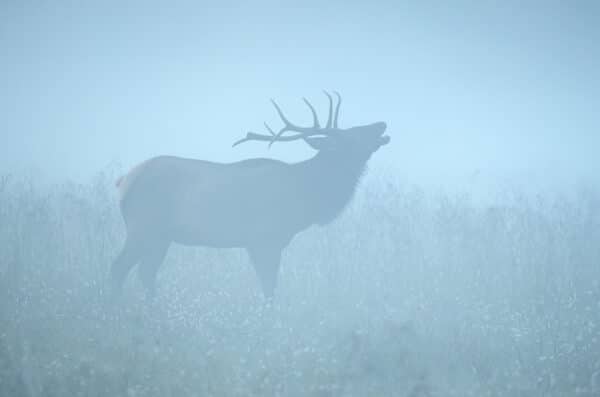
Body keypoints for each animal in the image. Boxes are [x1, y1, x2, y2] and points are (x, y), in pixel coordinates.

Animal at [109, 92, 390, 296]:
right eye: (350, 137)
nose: (381, 123)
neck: (305, 196)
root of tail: (123, 181)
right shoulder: (264, 240)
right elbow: (269, 288)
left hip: (161, 236)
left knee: (146, 272)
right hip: (142, 226)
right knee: (118, 267)